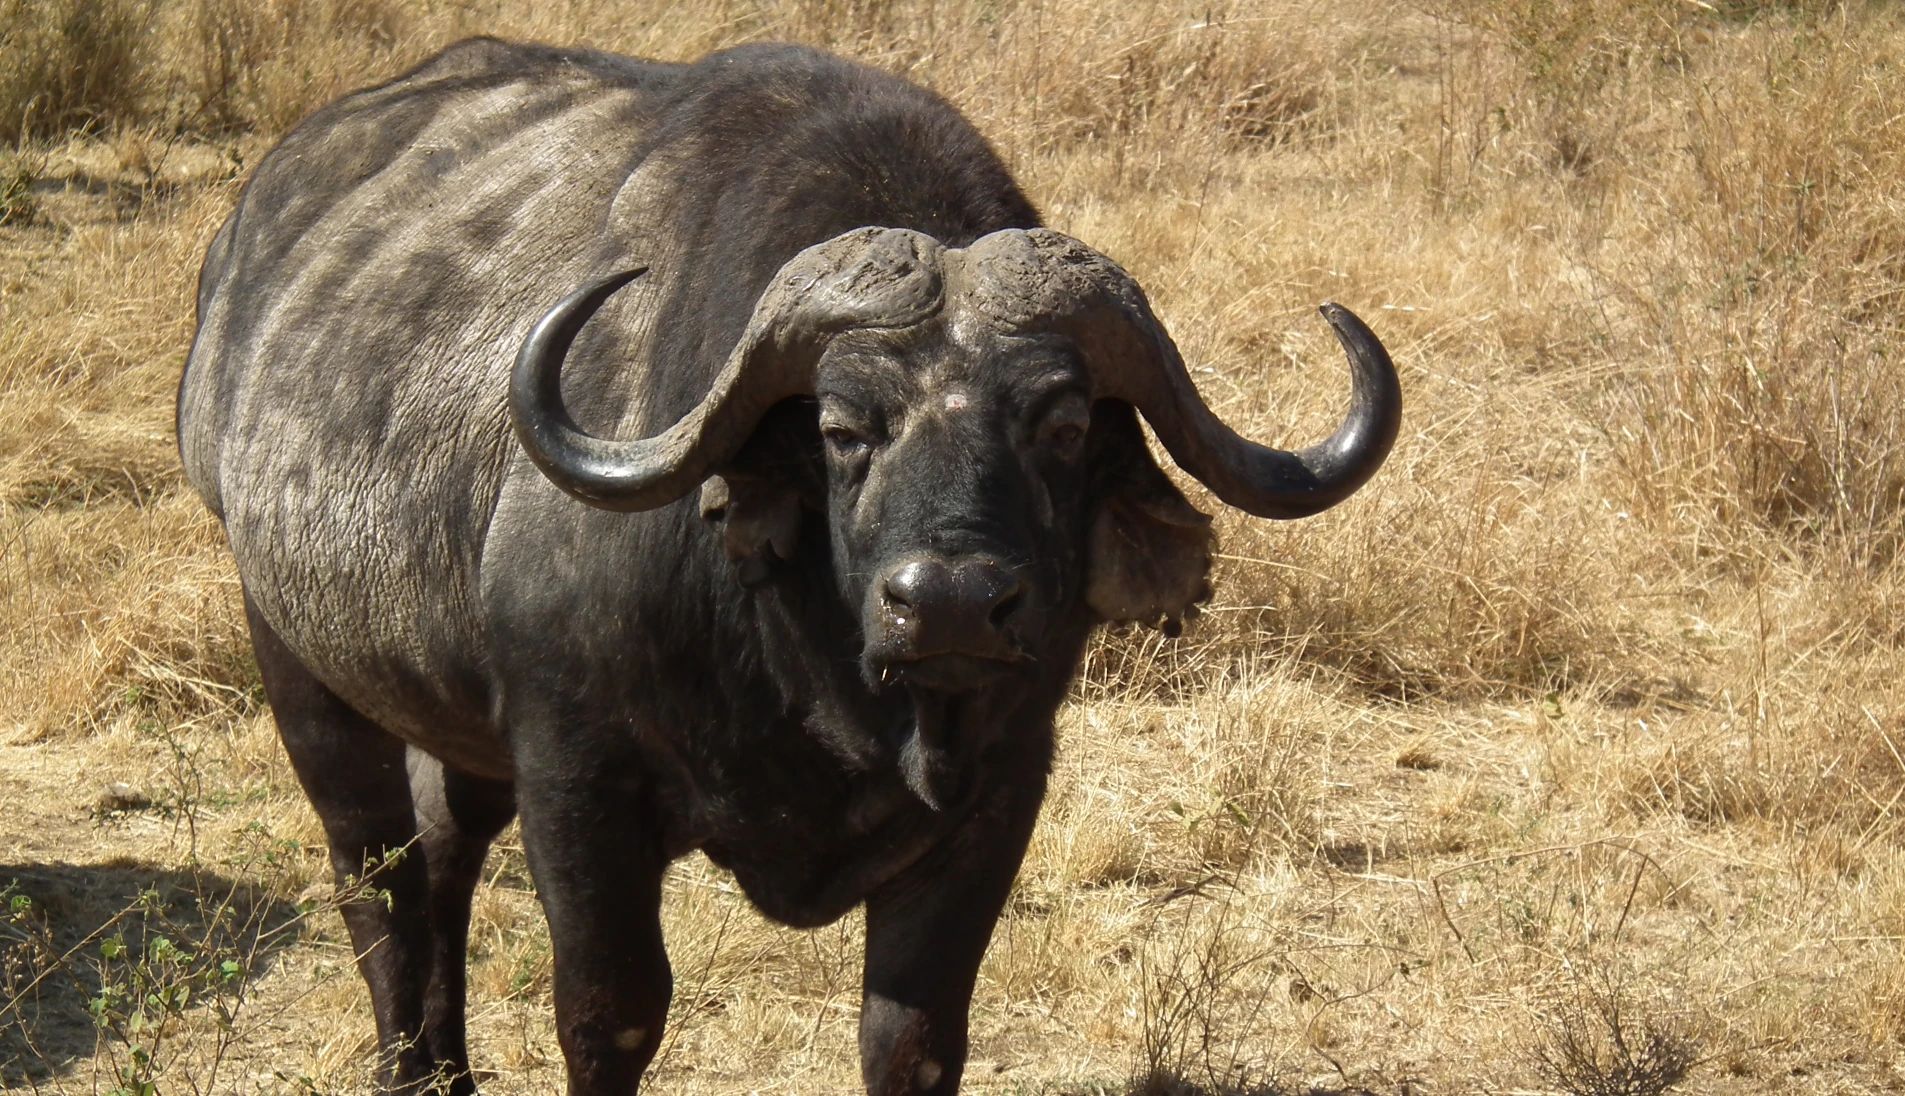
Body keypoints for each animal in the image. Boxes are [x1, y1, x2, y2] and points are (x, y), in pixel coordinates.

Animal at [176, 37, 1400, 1096]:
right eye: (842, 427)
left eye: (1058, 426)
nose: (950, 606)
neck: (812, 673)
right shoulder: (576, 779)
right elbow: (611, 1014)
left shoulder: (1001, 792)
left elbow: (913, 1039)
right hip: (300, 665)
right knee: (376, 888)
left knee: (441, 852)